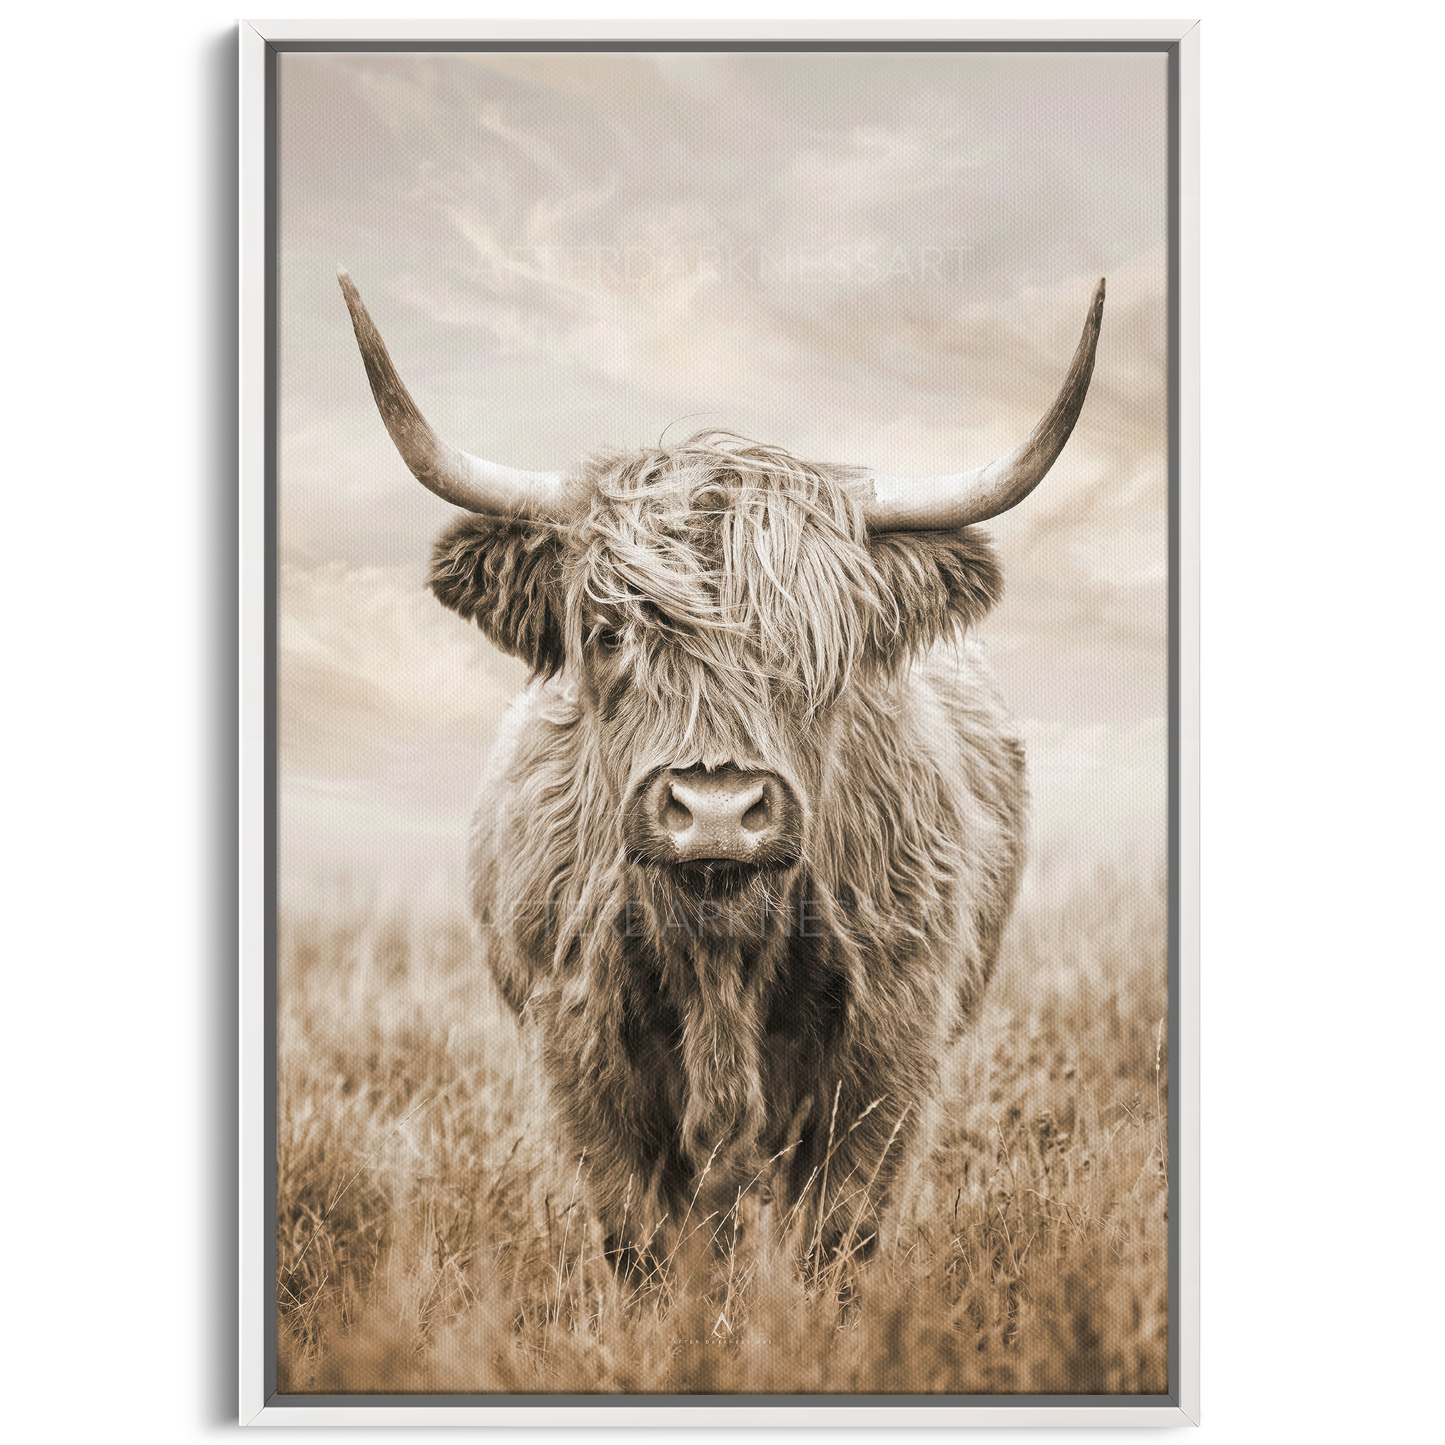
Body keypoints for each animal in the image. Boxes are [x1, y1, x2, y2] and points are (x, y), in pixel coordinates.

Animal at [337, 267, 1105, 1288]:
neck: (719, 945)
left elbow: (837, 1230)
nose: (714, 809)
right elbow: (643, 1240)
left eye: (820, 645)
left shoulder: (892, 1042)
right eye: (608, 630)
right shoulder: (578, 1049)